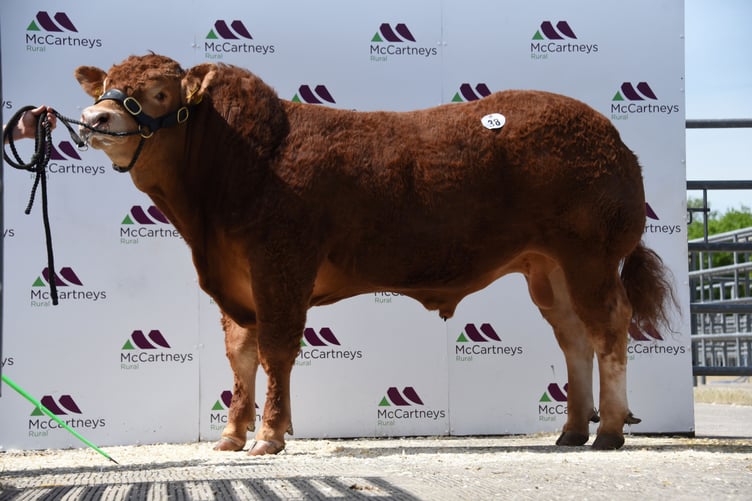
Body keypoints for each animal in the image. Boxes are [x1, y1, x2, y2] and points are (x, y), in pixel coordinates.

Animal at [74, 53, 674, 455]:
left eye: (158, 93)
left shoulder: (281, 262)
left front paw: (269, 436)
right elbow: (240, 355)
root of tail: (611, 137)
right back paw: (571, 430)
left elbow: (275, 350)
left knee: (608, 328)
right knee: (574, 336)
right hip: (547, 268)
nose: (94, 118)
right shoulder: (235, 278)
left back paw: (609, 431)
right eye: (108, 84)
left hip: (590, 256)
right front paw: (231, 435)